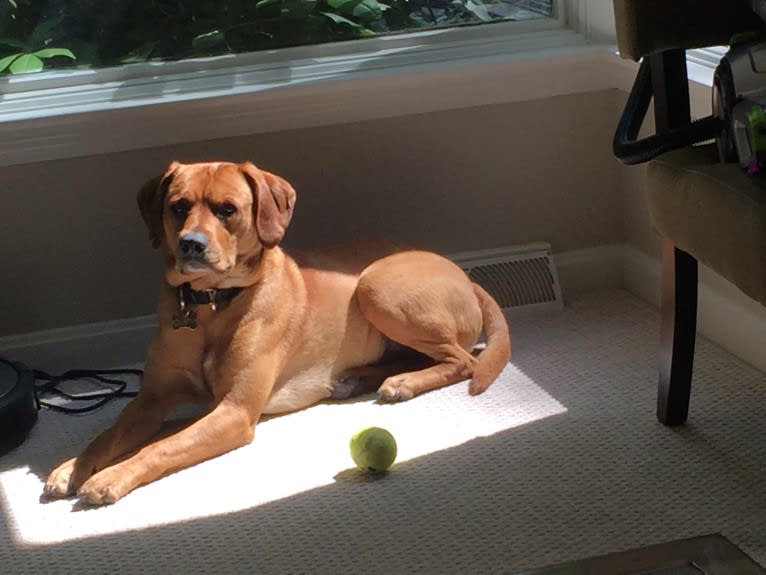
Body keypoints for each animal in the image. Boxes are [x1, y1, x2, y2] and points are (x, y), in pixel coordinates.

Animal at [40, 161, 510, 504]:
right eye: (178, 206)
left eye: (227, 210)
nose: (191, 244)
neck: (209, 306)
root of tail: (463, 274)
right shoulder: (152, 400)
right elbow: (110, 434)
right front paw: (73, 466)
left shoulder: (235, 412)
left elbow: (162, 445)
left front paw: (112, 476)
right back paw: (363, 377)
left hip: (376, 286)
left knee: (463, 361)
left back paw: (404, 382)